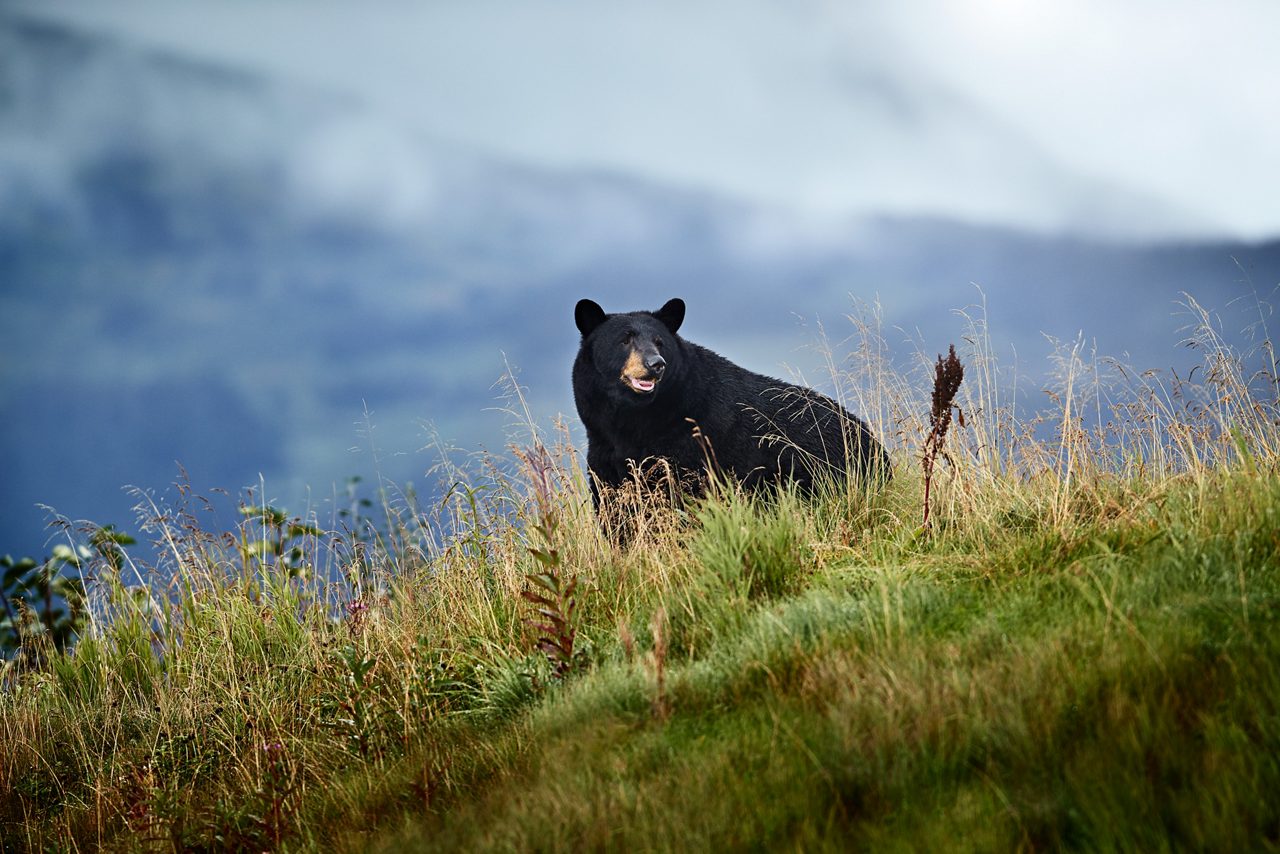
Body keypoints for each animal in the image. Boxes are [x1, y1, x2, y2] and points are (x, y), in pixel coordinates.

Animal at [572, 297, 889, 515]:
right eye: (624, 340)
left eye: (659, 342)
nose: (655, 364)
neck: (636, 422)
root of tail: (875, 442)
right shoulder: (603, 451)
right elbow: (615, 506)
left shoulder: (693, 447)